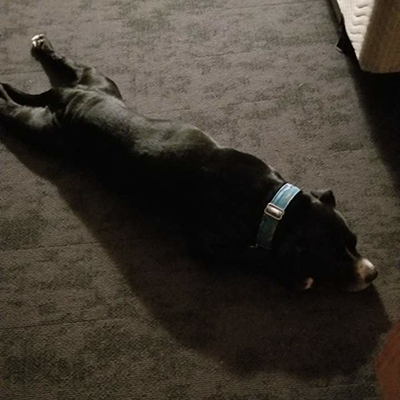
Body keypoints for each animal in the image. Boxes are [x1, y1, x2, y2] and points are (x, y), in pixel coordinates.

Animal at [0, 35, 377, 291]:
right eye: (332, 257)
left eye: (354, 241)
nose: (372, 273)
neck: (272, 205)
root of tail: (69, 96)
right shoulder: (204, 246)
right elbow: (250, 255)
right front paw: (294, 276)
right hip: (43, 132)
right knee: (10, 111)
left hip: (98, 80)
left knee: (66, 62)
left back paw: (43, 45)